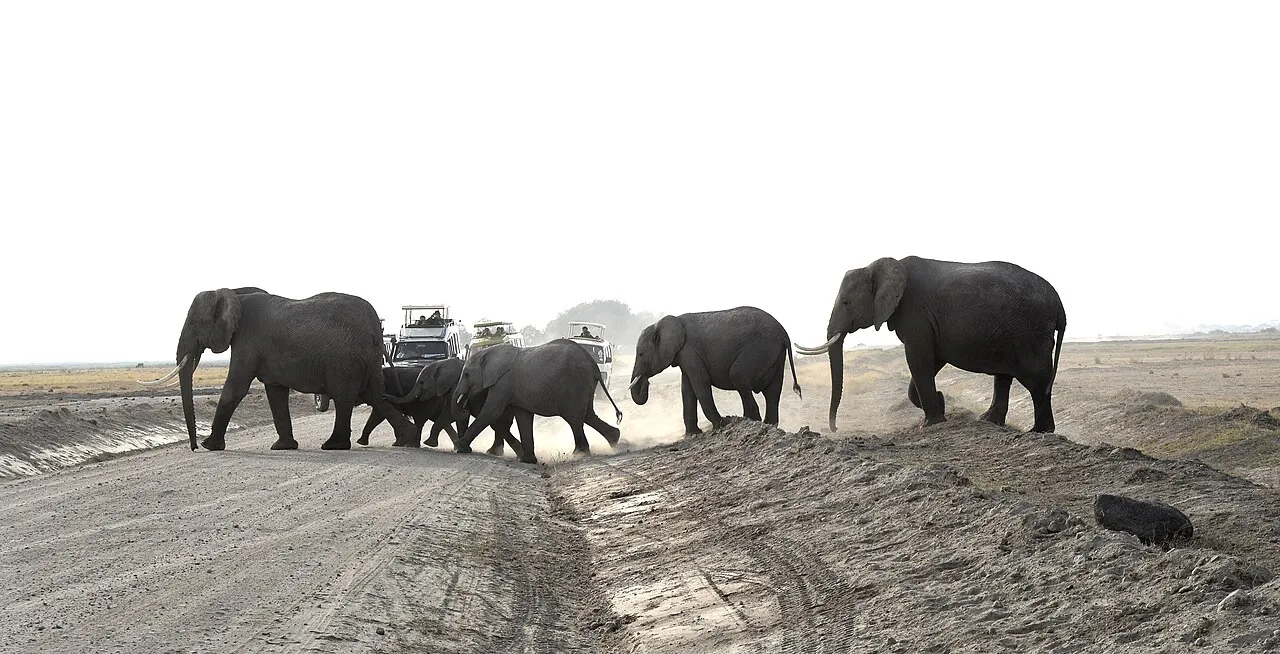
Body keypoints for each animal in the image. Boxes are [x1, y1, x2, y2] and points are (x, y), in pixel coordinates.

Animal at [140, 287, 417, 451]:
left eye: (195, 323)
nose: (194, 447)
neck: (233, 293)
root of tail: (375, 329)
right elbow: (275, 393)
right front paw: (283, 447)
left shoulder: (247, 340)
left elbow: (236, 388)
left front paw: (211, 446)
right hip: (365, 358)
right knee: (375, 395)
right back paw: (406, 440)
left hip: (344, 358)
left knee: (344, 397)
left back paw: (333, 446)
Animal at [454, 339, 623, 464]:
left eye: (467, 374)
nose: (463, 404)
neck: (489, 351)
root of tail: (593, 364)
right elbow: (523, 417)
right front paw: (527, 460)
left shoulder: (502, 383)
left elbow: (491, 412)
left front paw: (459, 447)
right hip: (583, 385)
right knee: (587, 415)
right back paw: (614, 439)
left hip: (574, 383)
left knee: (574, 418)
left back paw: (579, 453)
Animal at [629, 306, 801, 436]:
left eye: (641, 354)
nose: (646, 381)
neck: (662, 323)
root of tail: (783, 332)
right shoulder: (685, 354)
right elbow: (687, 389)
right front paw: (693, 434)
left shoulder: (690, 350)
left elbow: (700, 383)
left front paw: (722, 424)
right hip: (775, 353)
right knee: (772, 391)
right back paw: (768, 425)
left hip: (760, 348)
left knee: (738, 376)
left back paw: (750, 421)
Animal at [795, 256, 1066, 433]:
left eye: (846, 303)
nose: (834, 429)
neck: (878, 267)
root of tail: (1060, 306)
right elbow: (930, 361)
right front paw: (941, 403)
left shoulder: (915, 313)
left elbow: (918, 360)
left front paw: (932, 422)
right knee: (1004, 377)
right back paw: (988, 421)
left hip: (1030, 333)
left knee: (1036, 379)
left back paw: (1040, 432)